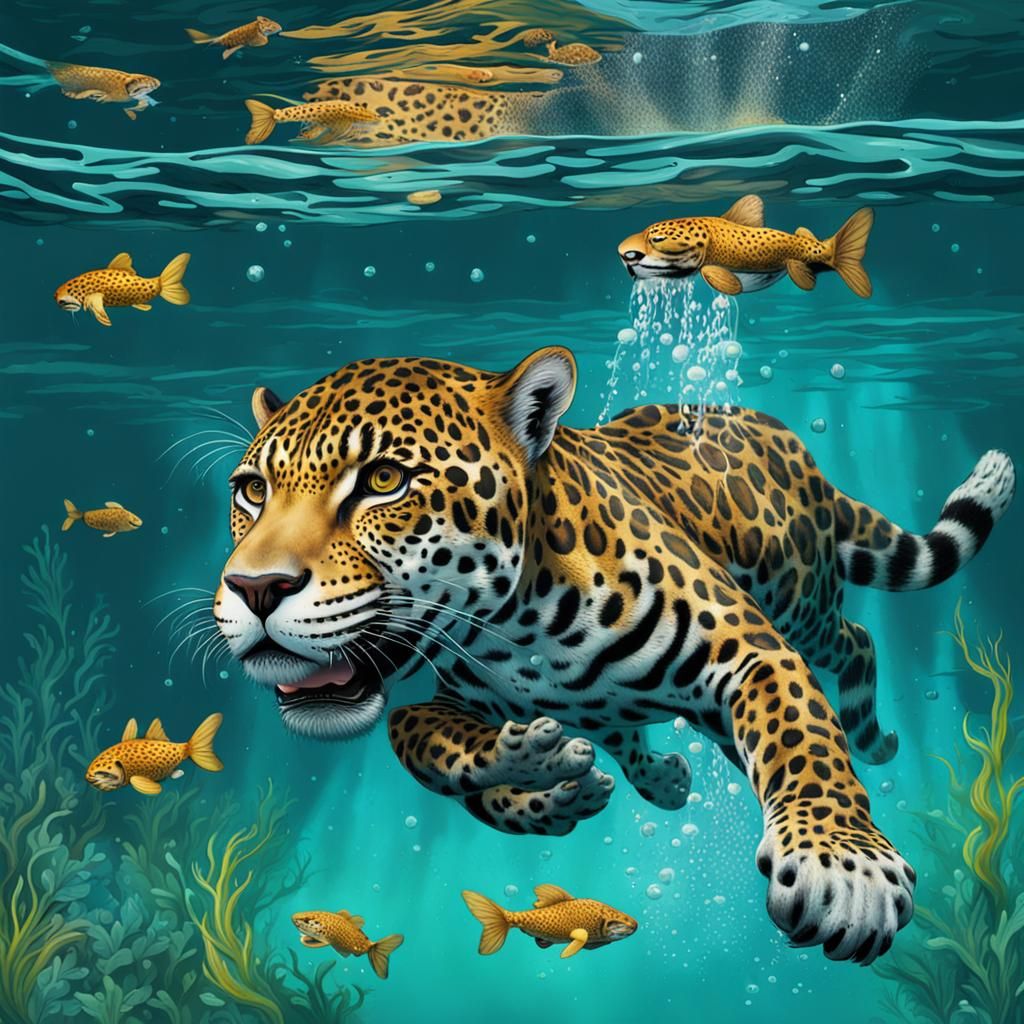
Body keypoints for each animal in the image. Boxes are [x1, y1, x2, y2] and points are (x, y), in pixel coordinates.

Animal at [212, 347, 1015, 965]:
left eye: (384, 481)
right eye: (251, 491)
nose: (254, 589)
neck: (514, 626)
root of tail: (776, 430)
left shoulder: (751, 648)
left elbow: (802, 745)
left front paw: (844, 871)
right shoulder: (443, 701)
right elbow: (429, 748)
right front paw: (534, 767)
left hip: (800, 595)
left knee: (855, 640)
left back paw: (870, 735)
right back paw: (645, 777)